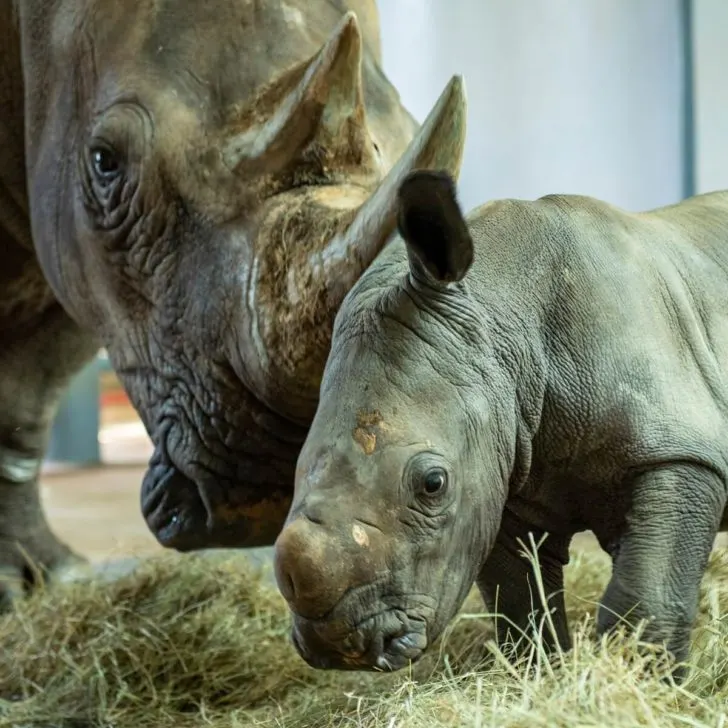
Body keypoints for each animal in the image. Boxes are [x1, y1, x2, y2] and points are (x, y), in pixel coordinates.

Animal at [0, 0, 466, 604]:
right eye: (105, 161)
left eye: (409, 133)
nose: (263, 496)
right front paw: (16, 589)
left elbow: (28, 390)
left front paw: (49, 578)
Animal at [272, 169, 728, 676]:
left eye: (433, 483)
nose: (338, 647)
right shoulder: (501, 473)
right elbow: (520, 603)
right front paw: (538, 674)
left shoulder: (677, 449)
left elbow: (648, 594)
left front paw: (639, 675)